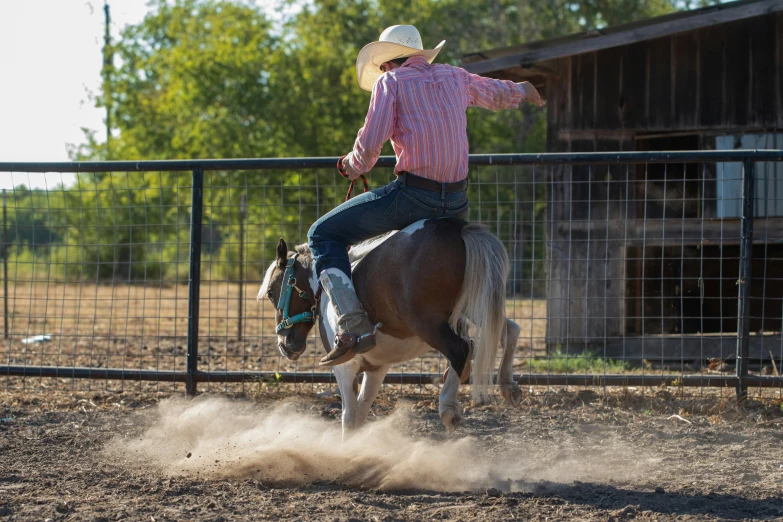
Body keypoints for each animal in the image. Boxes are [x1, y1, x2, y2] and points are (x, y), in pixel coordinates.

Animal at [260, 216, 524, 434]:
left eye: (272, 293)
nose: (285, 345)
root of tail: (456, 228)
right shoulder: (377, 368)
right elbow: (360, 414)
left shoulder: (345, 367)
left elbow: (349, 418)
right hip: (475, 302)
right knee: (508, 330)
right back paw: (508, 386)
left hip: (427, 322)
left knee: (461, 348)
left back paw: (448, 408)